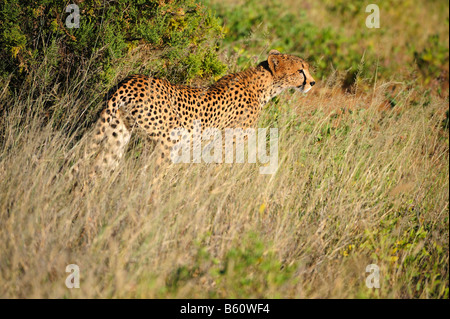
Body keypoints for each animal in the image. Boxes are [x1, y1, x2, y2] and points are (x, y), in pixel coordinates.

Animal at [80, 49, 316, 175]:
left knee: (97, 168)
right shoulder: (225, 145)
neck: (263, 85)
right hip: (167, 142)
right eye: (300, 71)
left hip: (117, 135)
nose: (312, 82)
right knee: (149, 176)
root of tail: (130, 81)